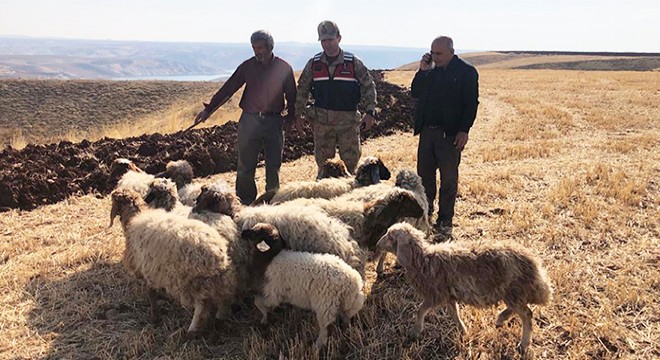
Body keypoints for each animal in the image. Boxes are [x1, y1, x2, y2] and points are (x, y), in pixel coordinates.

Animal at [110, 188, 237, 334]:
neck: (134, 217)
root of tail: (218, 255)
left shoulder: (147, 268)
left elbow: (151, 293)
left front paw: (154, 318)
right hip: (218, 280)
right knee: (223, 297)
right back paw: (221, 317)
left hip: (191, 282)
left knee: (201, 305)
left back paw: (192, 329)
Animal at [376, 224, 552, 352]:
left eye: (390, 236)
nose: (377, 244)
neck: (423, 260)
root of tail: (534, 263)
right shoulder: (448, 296)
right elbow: (454, 313)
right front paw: (463, 331)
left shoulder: (436, 294)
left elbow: (420, 310)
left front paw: (415, 331)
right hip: (513, 292)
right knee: (519, 309)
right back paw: (500, 319)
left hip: (514, 290)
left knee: (527, 314)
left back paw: (523, 344)